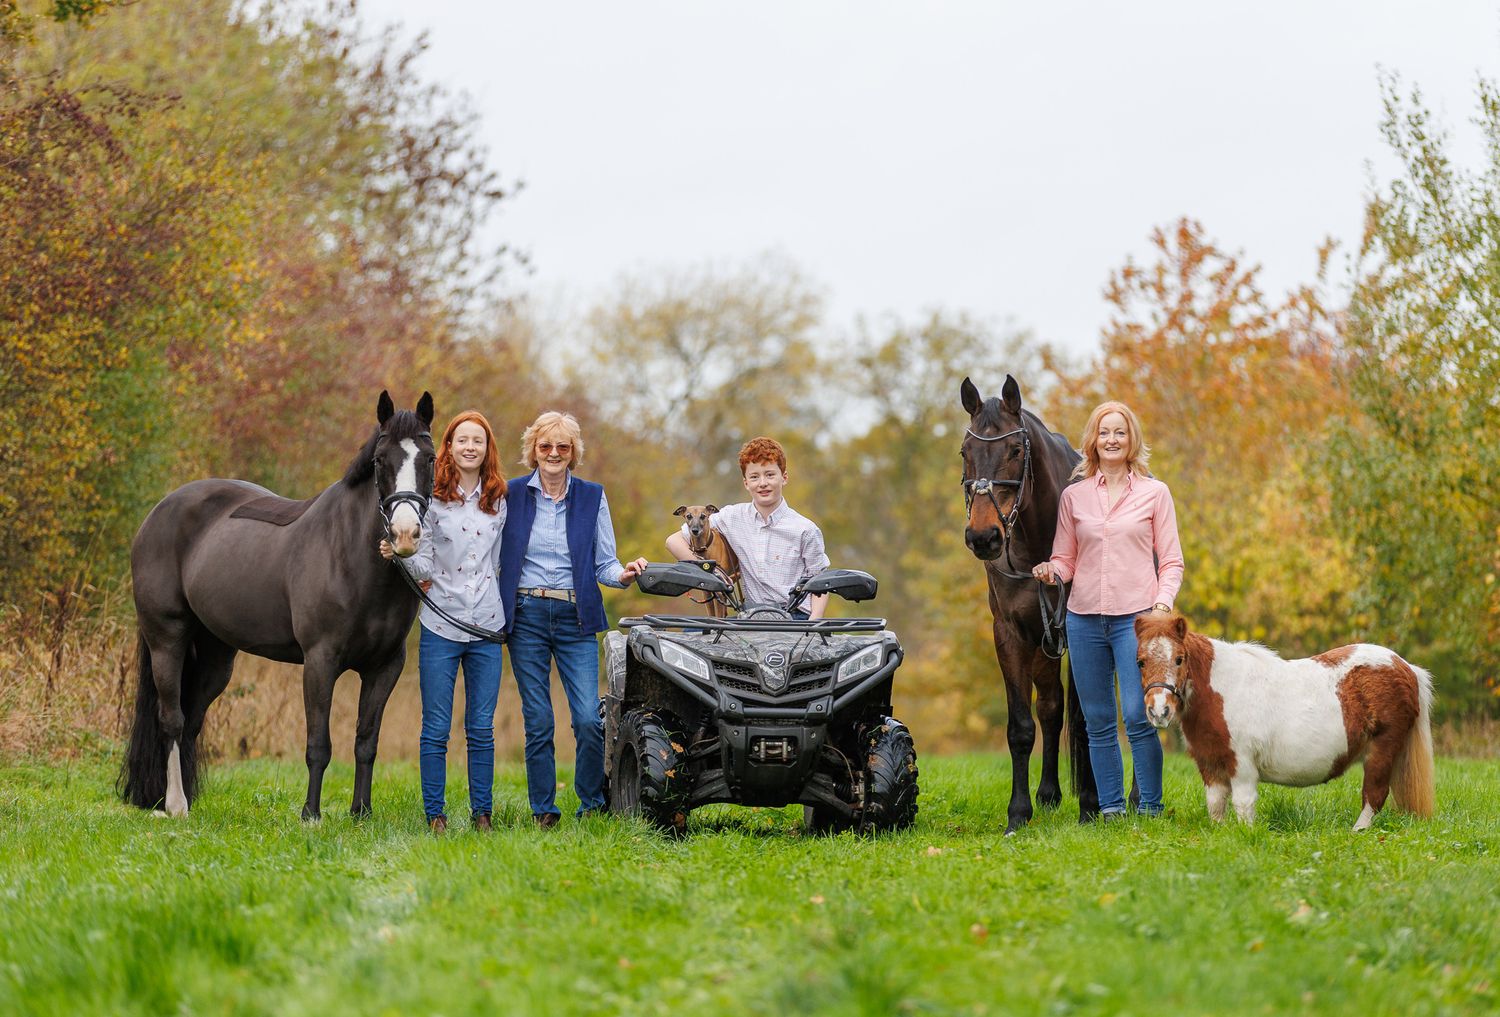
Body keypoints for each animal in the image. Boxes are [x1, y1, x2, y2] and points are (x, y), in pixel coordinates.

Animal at [121, 391, 436, 821]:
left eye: (430, 458)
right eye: (379, 461)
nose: (405, 534)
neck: (351, 557)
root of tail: (157, 514)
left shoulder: (385, 666)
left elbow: (366, 742)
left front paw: (361, 814)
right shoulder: (320, 661)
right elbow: (319, 745)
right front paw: (311, 816)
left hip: (216, 656)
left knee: (193, 720)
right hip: (166, 639)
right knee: (172, 720)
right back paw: (176, 804)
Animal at [960, 375, 1098, 833]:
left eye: (1015, 451)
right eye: (965, 453)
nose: (983, 537)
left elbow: (1086, 721)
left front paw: (1091, 805)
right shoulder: (1011, 634)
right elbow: (1023, 725)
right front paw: (1019, 812)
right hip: (1043, 645)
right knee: (1050, 708)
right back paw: (1049, 794)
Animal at [1133, 612, 1435, 830]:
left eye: (1179, 659)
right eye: (1140, 662)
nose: (1159, 711)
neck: (1222, 690)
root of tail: (1405, 667)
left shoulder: (1241, 765)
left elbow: (1243, 804)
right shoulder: (1210, 765)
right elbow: (1216, 805)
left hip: (1382, 750)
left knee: (1374, 795)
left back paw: (1357, 832)